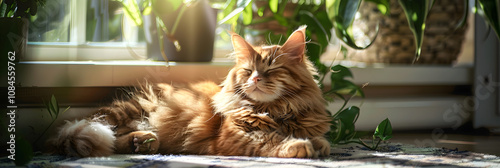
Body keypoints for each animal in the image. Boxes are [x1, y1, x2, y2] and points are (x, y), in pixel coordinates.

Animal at [47, 25, 332, 158]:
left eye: (272, 69)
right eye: (248, 70)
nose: (255, 79)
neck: (276, 110)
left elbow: (314, 138)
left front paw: (318, 143)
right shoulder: (234, 137)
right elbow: (270, 140)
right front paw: (298, 145)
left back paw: (143, 143)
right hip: (122, 112)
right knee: (99, 132)